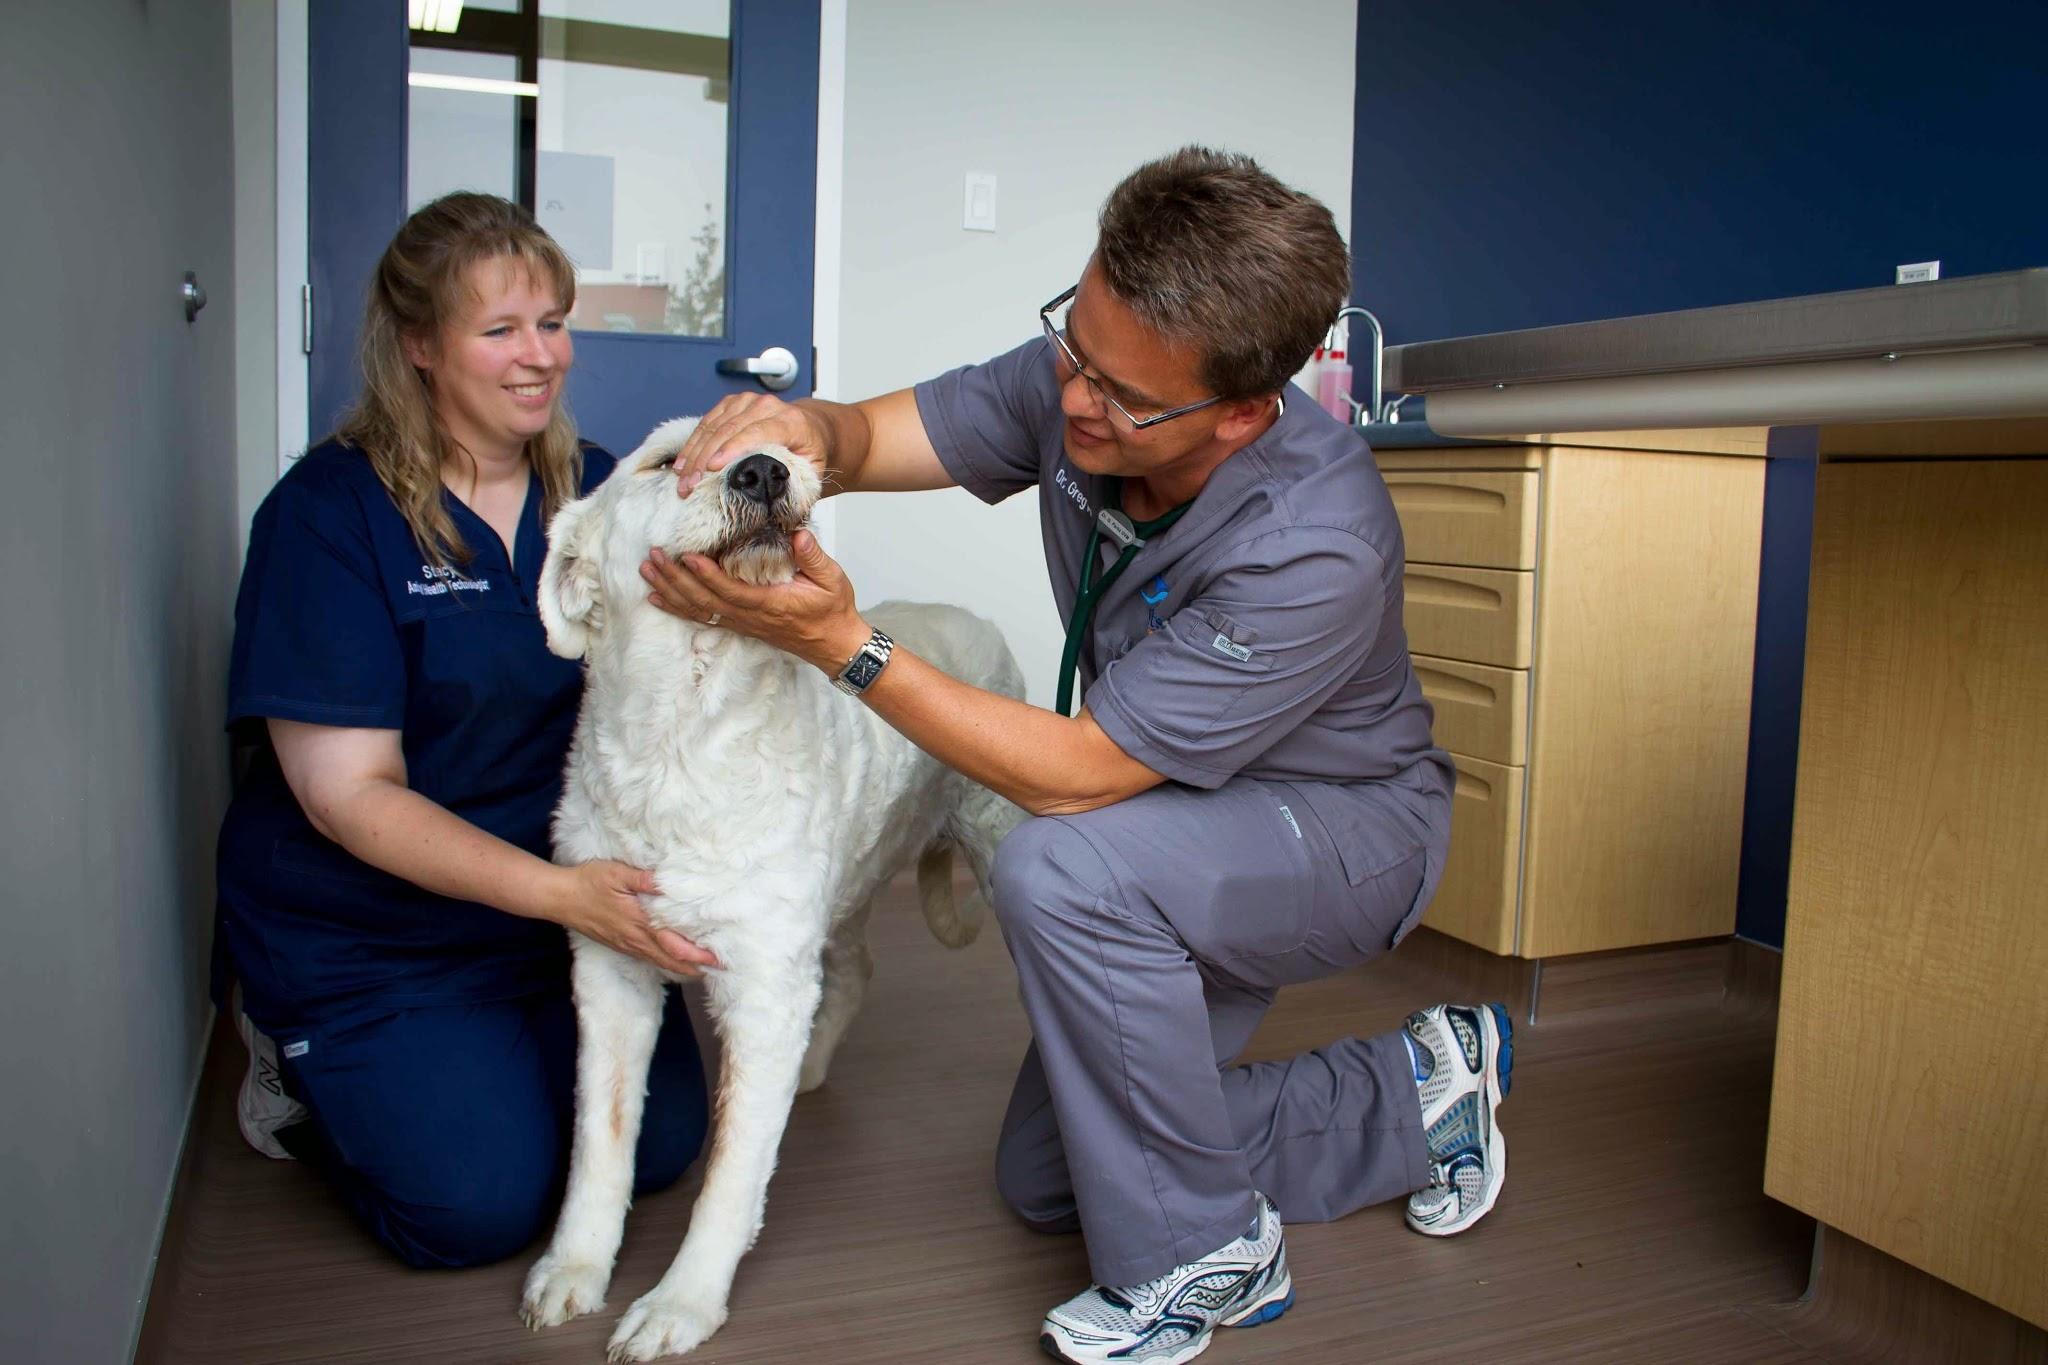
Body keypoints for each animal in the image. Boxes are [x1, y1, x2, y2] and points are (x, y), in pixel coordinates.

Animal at [512, 421, 1024, 1358]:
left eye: (770, 444)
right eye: (664, 464)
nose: (763, 473)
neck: (681, 747)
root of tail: (969, 617)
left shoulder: (761, 990)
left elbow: (729, 1173)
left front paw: (680, 1303)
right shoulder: (610, 972)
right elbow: (600, 1141)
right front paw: (575, 1266)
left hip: (990, 844)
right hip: (840, 889)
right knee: (854, 972)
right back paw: (812, 1066)